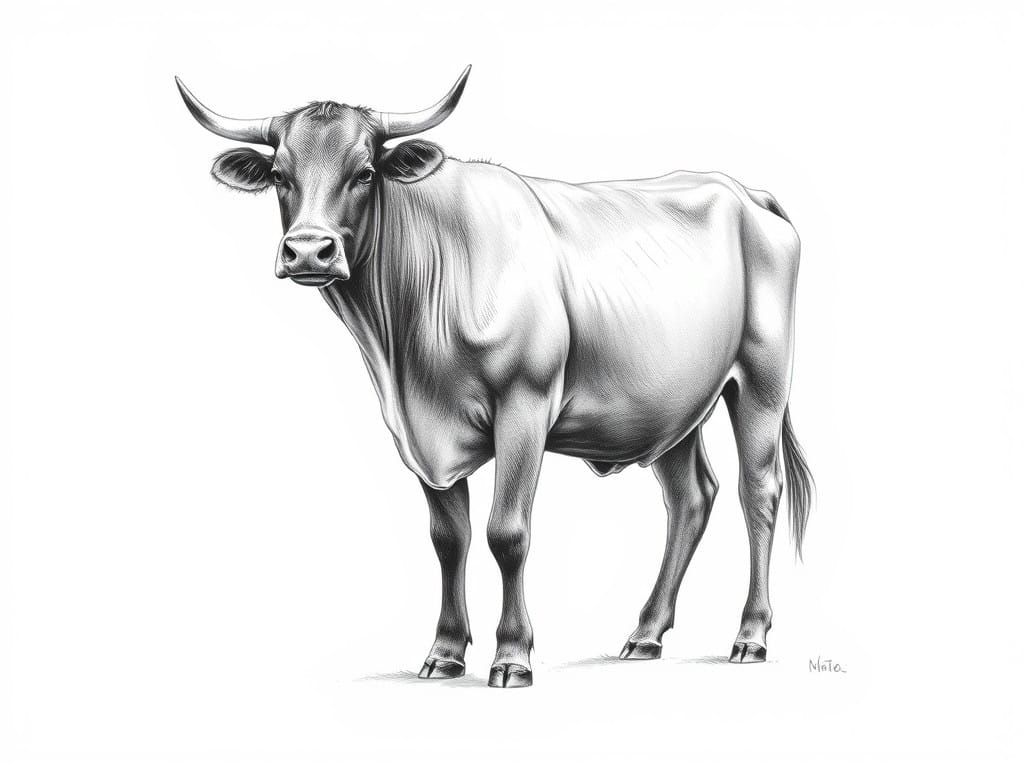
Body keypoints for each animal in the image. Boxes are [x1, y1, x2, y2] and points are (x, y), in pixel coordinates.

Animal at [177, 66, 813, 688]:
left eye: (364, 173)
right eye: (279, 175)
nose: (309, 251)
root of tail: (743, 192)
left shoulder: (524, 406)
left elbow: (506, 533)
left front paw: (512, 656)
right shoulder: (419, 432)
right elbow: (448, 539)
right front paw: (444, 652)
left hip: (760, 382)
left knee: (758, 491)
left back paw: (750, 636)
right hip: (671, 406)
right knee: (690, 498)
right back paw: (645, 635)